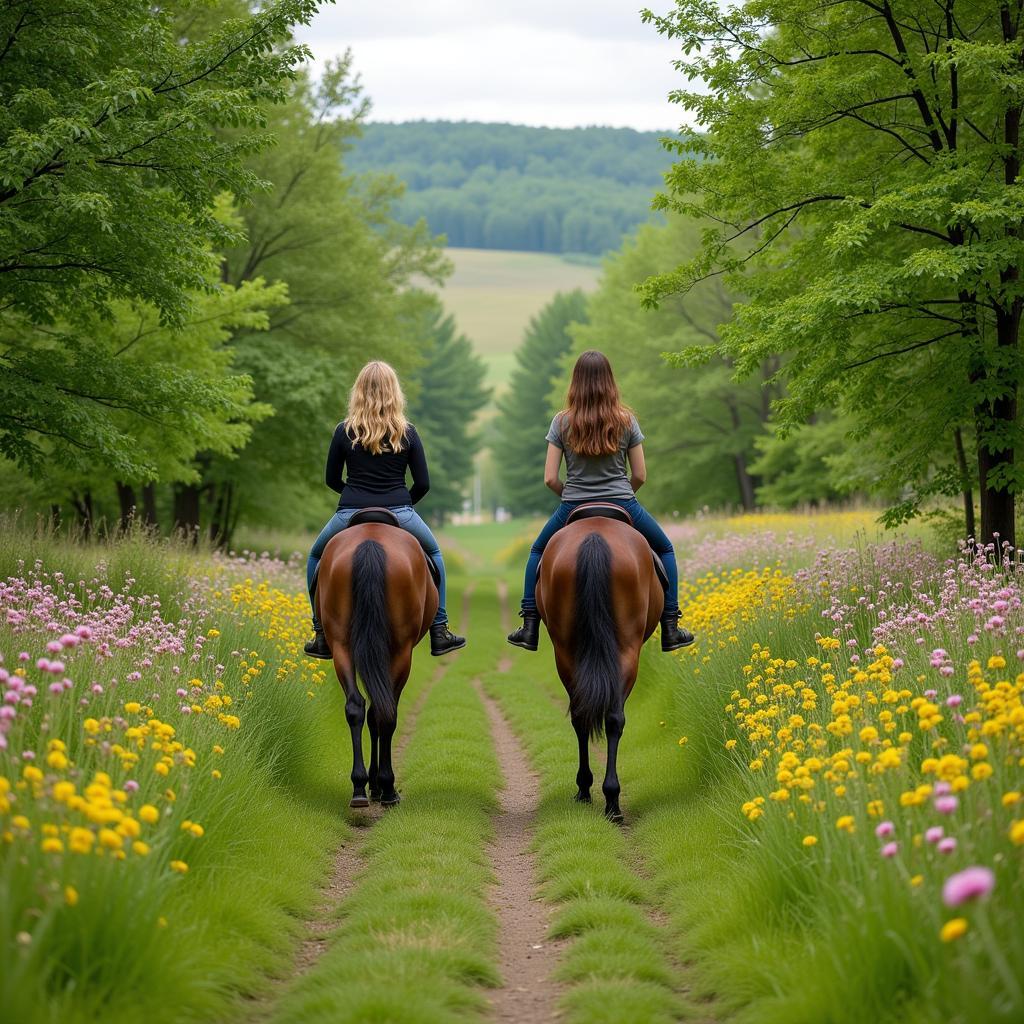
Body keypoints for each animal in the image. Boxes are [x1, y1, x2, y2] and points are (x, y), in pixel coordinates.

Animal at [315, 520, 436, 806]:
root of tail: (371, 540)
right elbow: (381, 714)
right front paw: (381, 785)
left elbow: (369, 713)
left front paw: (371, 783)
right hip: (400, 651)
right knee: (386, 712)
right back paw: (387, 788)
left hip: (341, 645)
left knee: (356, 706)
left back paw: (358, 787)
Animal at [536, 516, 663, 819]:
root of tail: (595, 535)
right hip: (626, 649)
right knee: (613, 718)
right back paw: (609, 799)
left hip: (567, 652)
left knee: (584, 715)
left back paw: (596, 793)